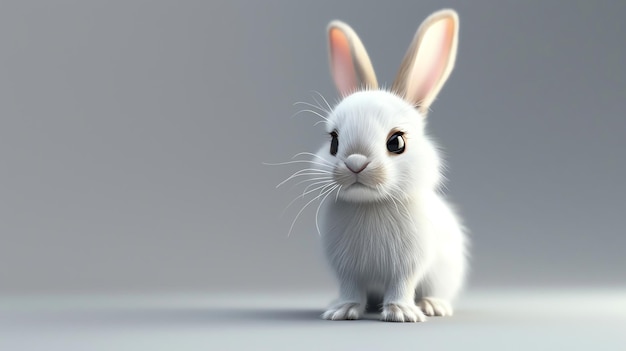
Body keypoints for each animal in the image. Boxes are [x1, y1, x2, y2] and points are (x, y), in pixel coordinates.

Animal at [310, 8, 466, 324]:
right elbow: (350, 289)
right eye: (334, 142)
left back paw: (433, 306)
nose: (355, 162)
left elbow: (401, 286)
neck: (370, 205)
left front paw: (401, 313)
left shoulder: (407, 266)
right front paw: (342, 311)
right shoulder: (347, 270)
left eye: (396, 142)